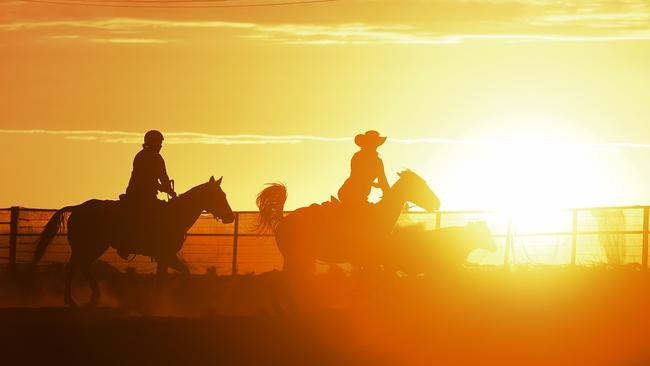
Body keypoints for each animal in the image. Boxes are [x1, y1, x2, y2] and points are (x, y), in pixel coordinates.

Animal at [32, 176, 233, 308]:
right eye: (220, 196)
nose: (230, 217)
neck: (175, 214)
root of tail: (77, 208)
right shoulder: (166, 255)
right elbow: (180, 273)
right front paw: (173, 295)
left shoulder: (164, 257)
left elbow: (168, 275)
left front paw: (161, 299)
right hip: (90, 247)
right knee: (75, 267)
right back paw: (73, 300)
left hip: (90, 248)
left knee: (81, 267)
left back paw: (92, 298)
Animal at [256, 170, 438, 276]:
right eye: (420, 184)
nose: (437, 203)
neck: (380, 215)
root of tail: (282, 220)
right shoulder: (373, 261)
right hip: (295, 259)